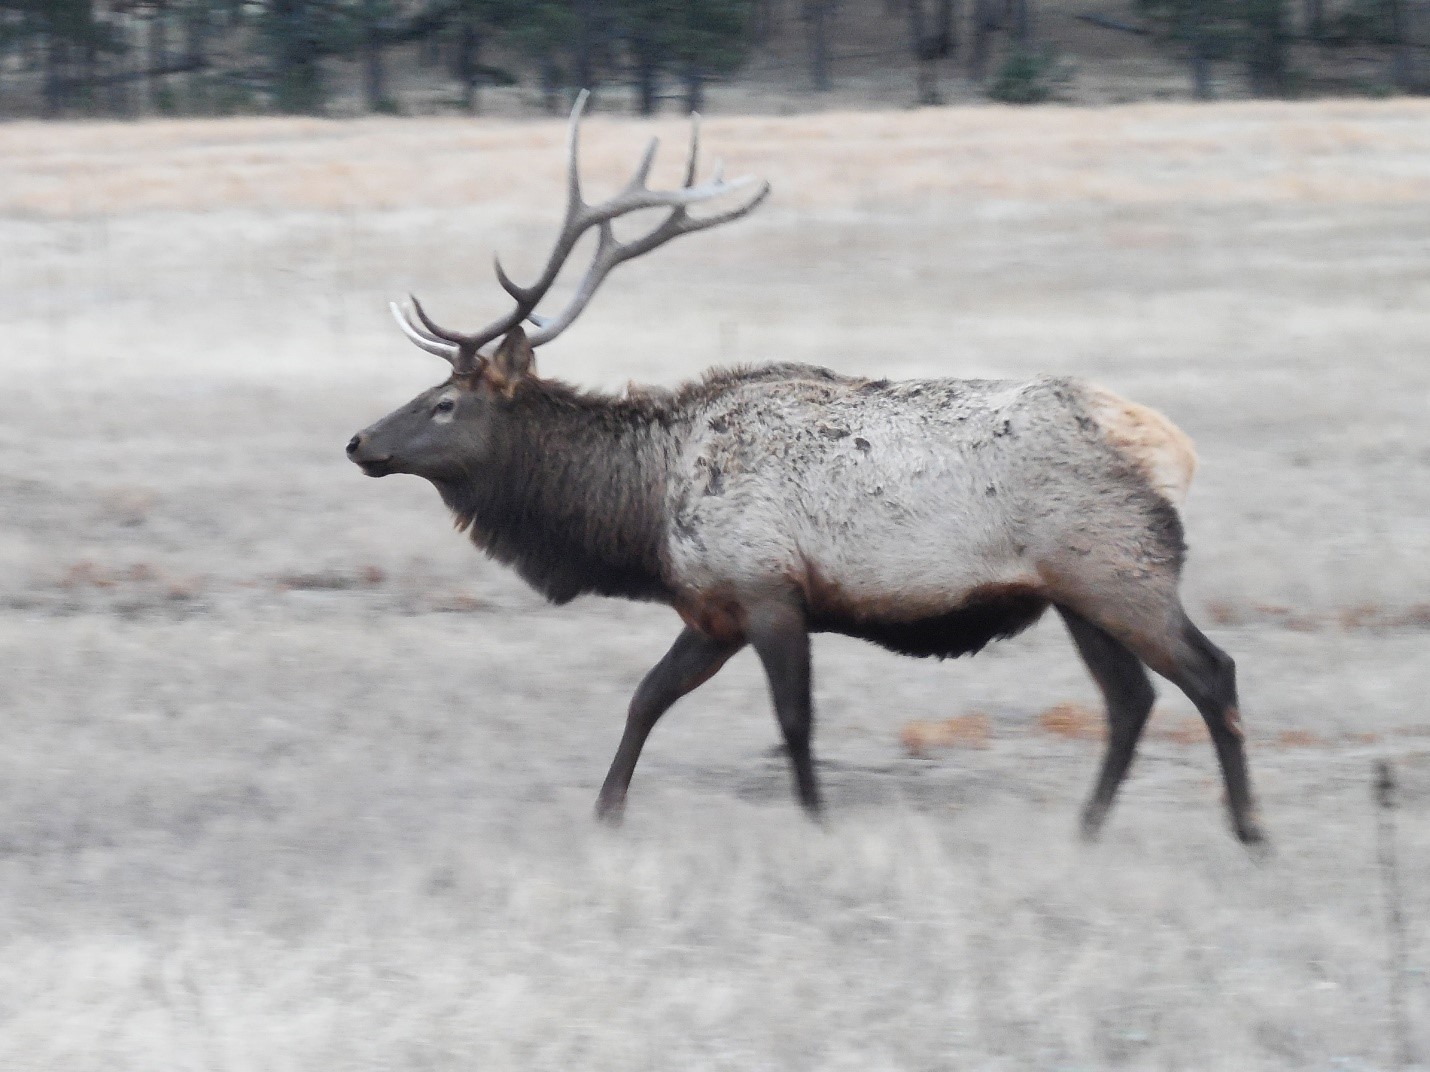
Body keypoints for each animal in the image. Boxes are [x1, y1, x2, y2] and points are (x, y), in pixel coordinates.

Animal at [346, 92, 1264, 848]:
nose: (358, 442)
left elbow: (793, 721)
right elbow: (646, 697)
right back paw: (1087, 829)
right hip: (1077, 593)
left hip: (1120, 569)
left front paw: (817, 821)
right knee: (1131, 699)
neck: (644, 518)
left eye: (444, 403)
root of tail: (1172, 448)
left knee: (1209, 673)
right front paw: (605, 814)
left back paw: (1249, 831)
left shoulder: (768, 589)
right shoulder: (713, 609)